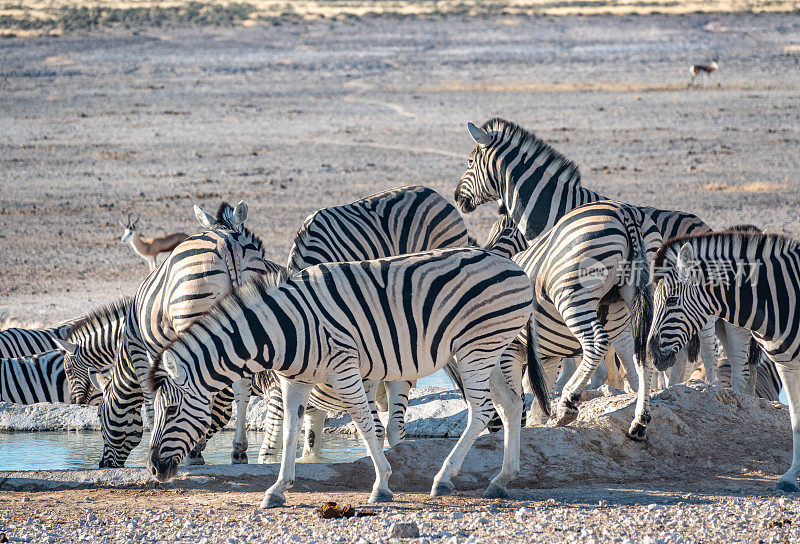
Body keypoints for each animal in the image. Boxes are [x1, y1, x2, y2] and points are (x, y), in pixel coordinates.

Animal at [95, 200, 282, 468]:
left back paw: (195, 451)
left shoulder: (143, 355)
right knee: (242, 388)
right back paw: (238, 450)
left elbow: (152, 401)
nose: (103, 465)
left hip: (191, 314)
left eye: (101, 418)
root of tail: (228, 241)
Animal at [145, 249, 552, 508]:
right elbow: (291, 433)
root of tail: (515, 264)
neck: (281, 330)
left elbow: (365, 423)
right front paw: (278, 489)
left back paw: (444, 478)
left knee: (482, 411)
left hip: (476, 347)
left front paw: (382, 485)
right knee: (510, 405)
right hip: (492, 349)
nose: (152, 469)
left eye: (172, 410)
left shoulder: (343, 367)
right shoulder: (296, 380)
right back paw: (502, 480)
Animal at [648, 230, 800, 492]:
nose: (652, 354)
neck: (781, 297)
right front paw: (790, 477)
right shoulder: (786, 366)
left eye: (671, 301)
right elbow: (796, 421)